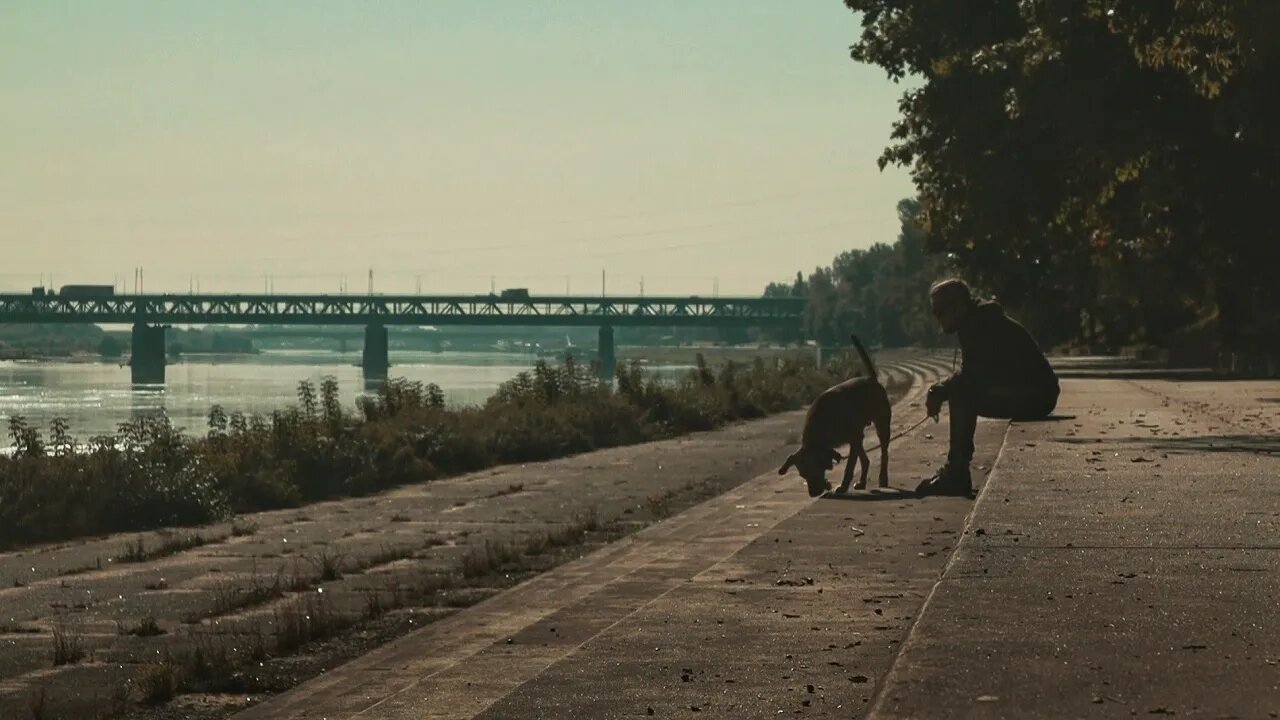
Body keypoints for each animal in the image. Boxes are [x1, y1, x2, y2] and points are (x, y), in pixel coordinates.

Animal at [778, 335, 890, 491]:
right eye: (802, 475)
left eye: (816, 470)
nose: (813, 493)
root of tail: (872, 379)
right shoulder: (854, 438)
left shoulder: (854, 438)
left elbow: (849, 466)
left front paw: (843, 486)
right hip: (860, 436)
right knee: (865, 460)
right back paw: (862, 482)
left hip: (882, 424)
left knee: (884, 453)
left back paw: (883, 479)